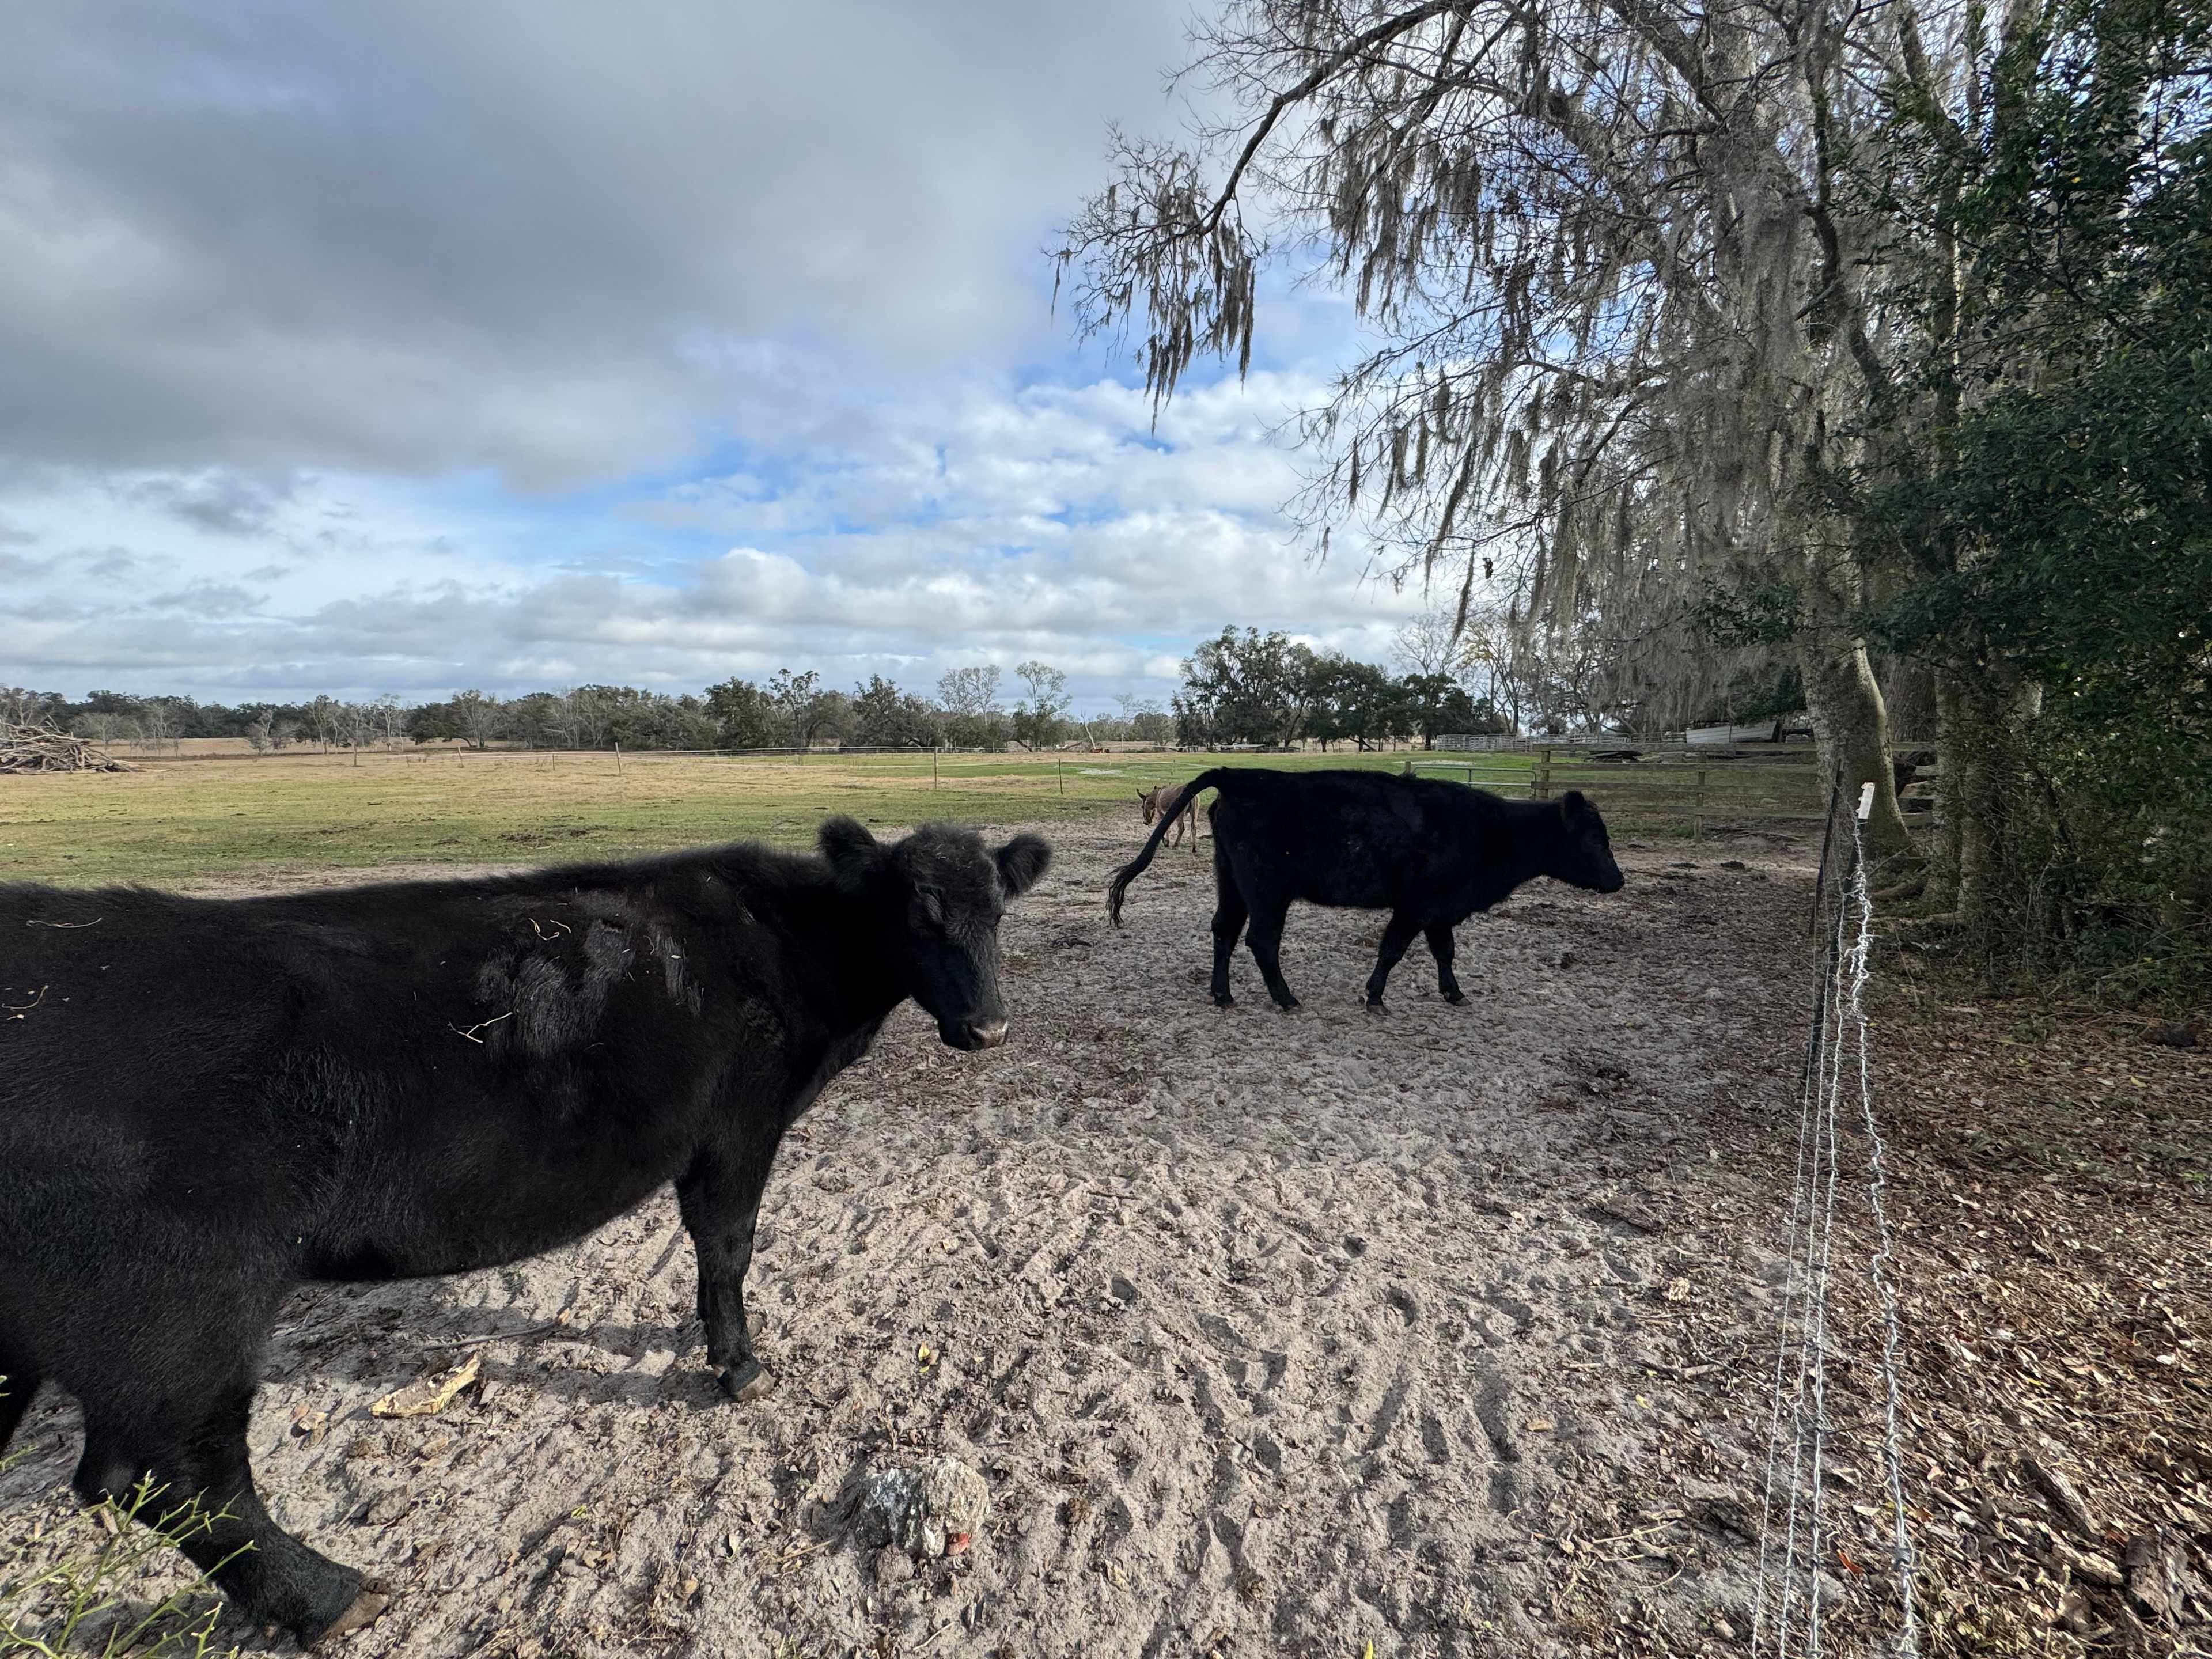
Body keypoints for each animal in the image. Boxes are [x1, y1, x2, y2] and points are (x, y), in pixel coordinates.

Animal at [0, 818, 1049, 1645]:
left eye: (999, 910)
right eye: (916, 913)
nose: (989, 1029)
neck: (793, 949)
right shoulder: (739, 1130)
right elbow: (729, 1245)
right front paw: (738, 1365)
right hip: (177, 1304)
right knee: (169, 1474)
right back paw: (332, 1596)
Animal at [1107, 767, 1623, 1011]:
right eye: (1593, 840)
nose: (1619, 879)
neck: (1486, 829)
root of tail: (1238, 776)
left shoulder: (1439, 911)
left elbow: (1445, 952)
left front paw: (1454, 993)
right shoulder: (1416, 907)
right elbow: (1392, 951)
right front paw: (1375, 996)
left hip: (1232, 882)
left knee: (1225, 931)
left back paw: (1223, 995)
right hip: (1268, 892)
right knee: (1260, 941)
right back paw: (1286, 998)